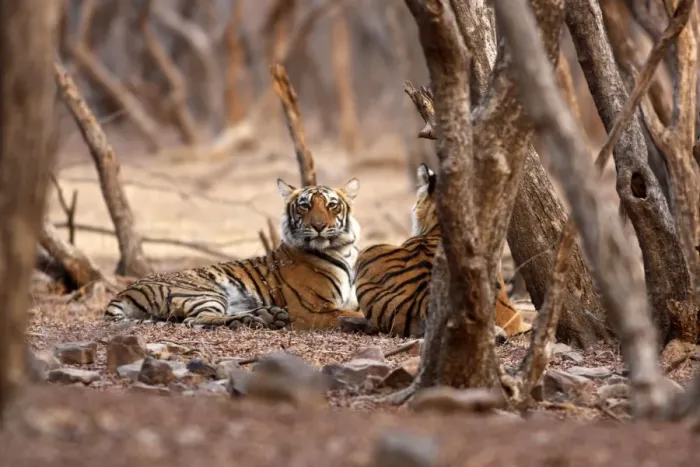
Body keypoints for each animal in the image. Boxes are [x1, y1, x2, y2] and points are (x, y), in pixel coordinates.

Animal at [103, 178, 366, 331]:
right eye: (305, 206)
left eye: (332, 205)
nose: (319, 226)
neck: (344, 251)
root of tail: (127, 290)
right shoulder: (311, 309)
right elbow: (355, 314)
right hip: (203, 293)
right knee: (196, 320)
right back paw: (255, 320)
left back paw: (265, 316)